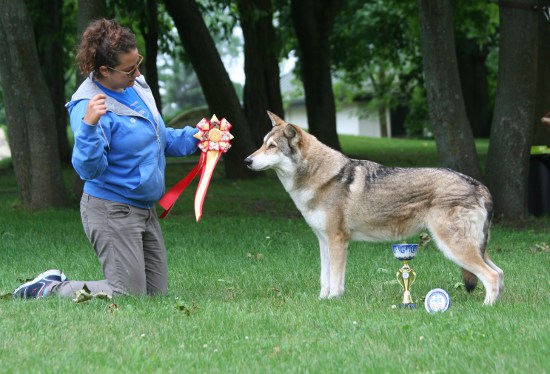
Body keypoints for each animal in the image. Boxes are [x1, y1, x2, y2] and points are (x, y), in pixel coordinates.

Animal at [248, 111, 506, 304]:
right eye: (262, 144)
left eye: (272, 146)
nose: (246, 161)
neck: (322, 177)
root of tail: (479, 185)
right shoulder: (323, 240)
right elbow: (325, 277)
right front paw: (322, 301)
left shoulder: (337, 240)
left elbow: (336, 279)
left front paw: (333, 301)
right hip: (475, 248)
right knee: (500, 273)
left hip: (454, 247)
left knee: (492, 276)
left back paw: (486, 306)